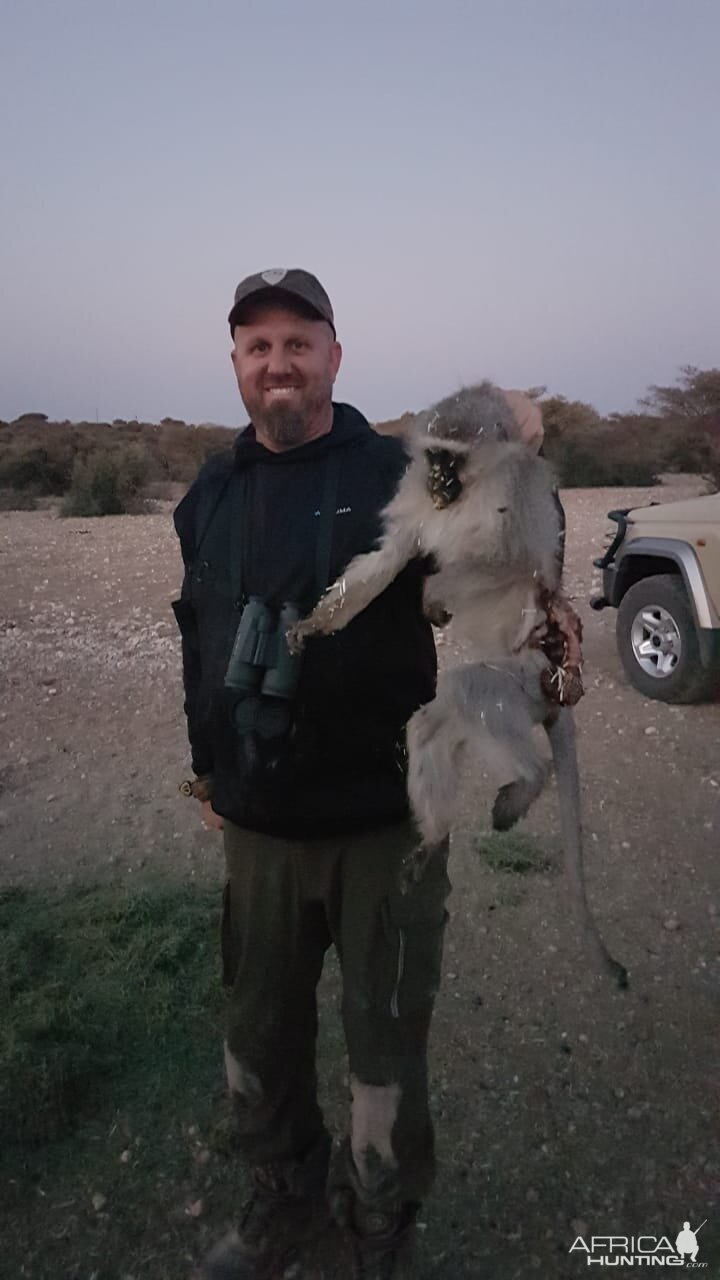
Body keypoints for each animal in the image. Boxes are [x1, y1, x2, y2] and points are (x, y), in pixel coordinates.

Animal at [285, 381, 622, 988]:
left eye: (455, 460)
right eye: (435, 457)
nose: (438, 483)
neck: (472, 491)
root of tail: (552, 683)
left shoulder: (515, 496)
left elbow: (509, 565)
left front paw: (431, 596)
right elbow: (390, 557)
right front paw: (313, 626)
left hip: (520, 683)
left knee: (473, 695)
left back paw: (529, 780)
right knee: (429, 723)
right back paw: (431, 838)